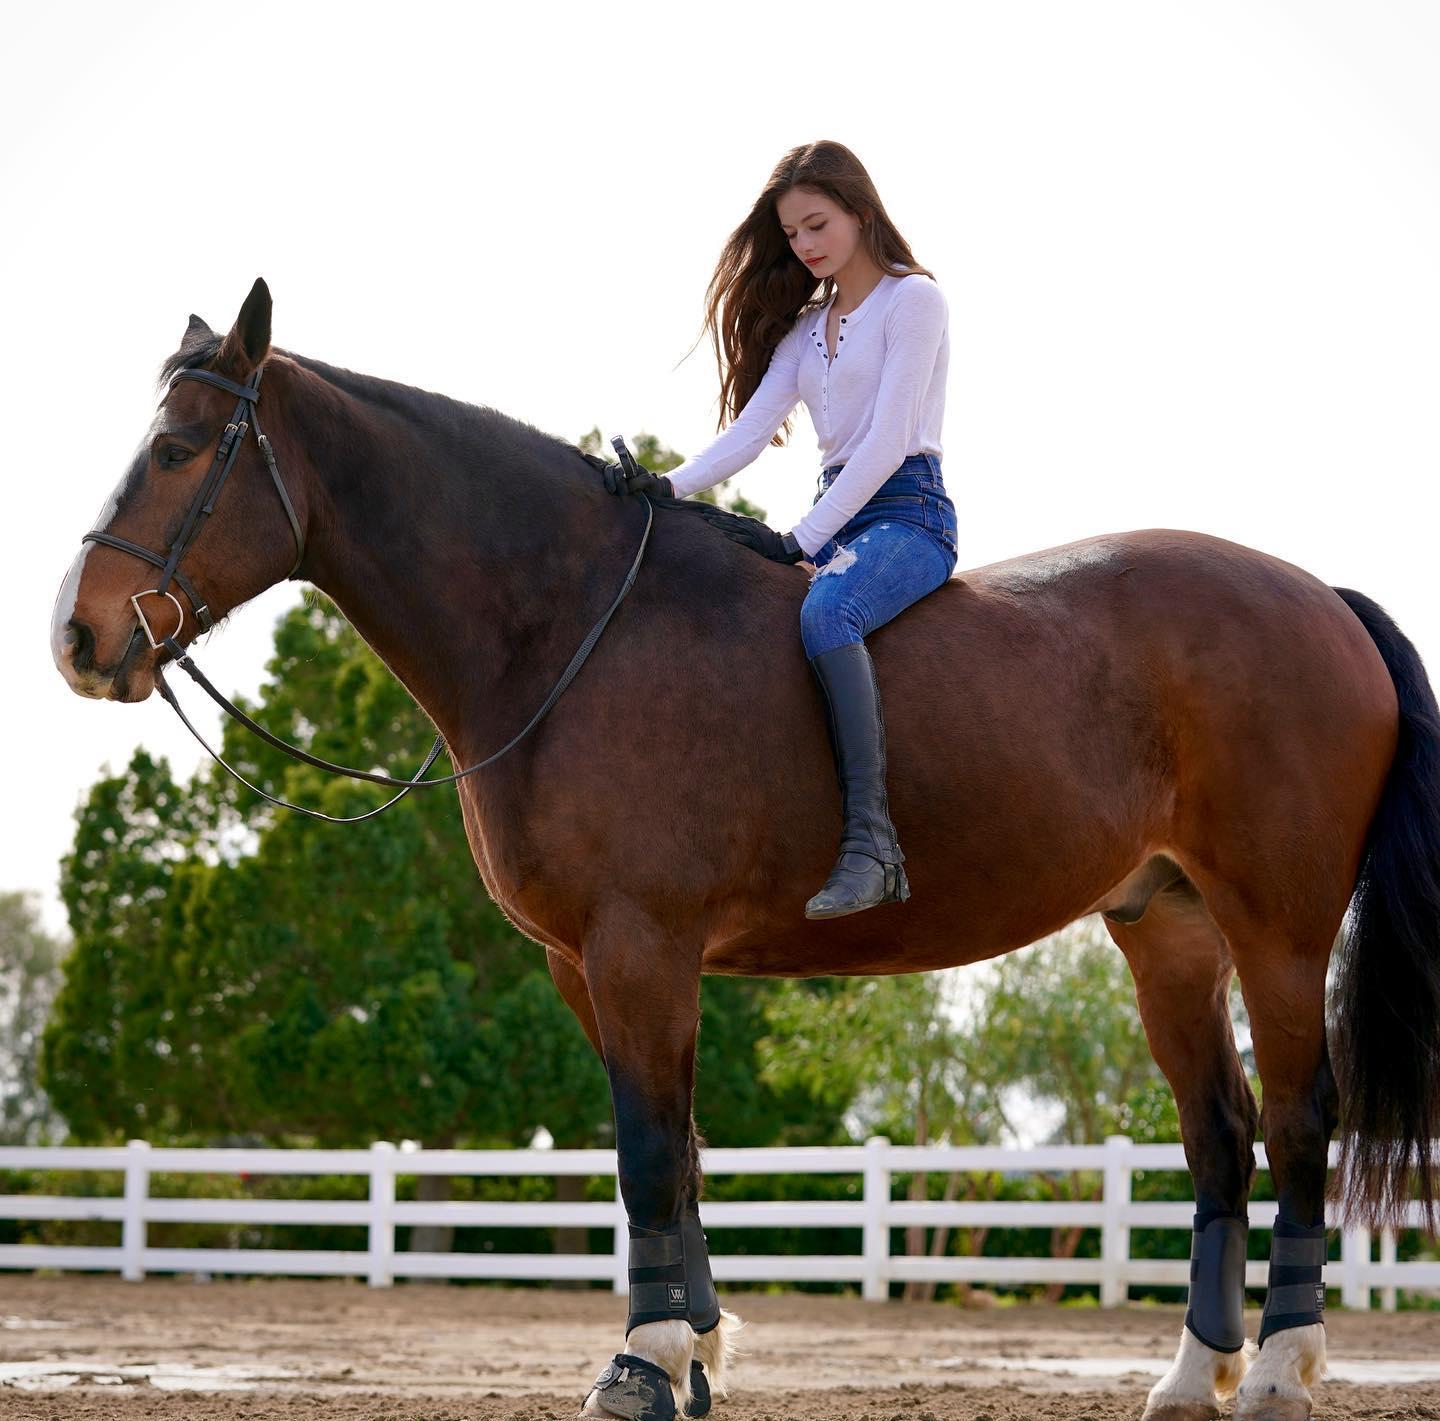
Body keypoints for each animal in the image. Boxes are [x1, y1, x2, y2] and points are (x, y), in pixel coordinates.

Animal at [50, 280, 1434, 1421]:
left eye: (178, 448)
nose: (78, 636)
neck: (571, 624)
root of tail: (1322, 597)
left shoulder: (640, 947)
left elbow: (650, 1154)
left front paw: (644, 1363)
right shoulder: (586, 964)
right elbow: (678, 1151)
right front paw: (696, 1351)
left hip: (1276, 927)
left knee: (1299, 1123)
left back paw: (1278, 1368)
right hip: (1168, 928)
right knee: (1221, 1137)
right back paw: (1192, 1373)